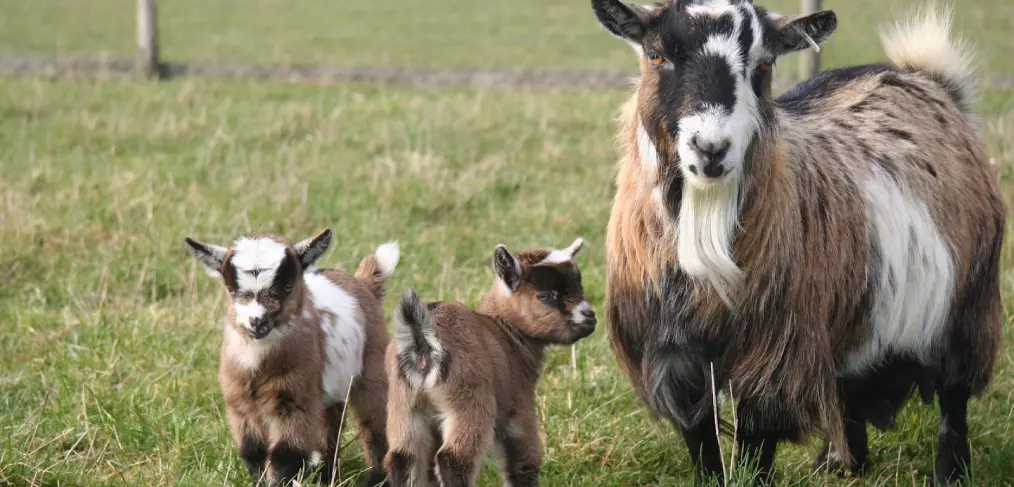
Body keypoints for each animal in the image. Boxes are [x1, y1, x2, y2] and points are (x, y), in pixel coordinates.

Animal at [592, 1, 1005, 484]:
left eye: (763, 64)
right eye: (656, 55)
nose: (711, 148)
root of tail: (928, 79)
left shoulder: (776, 355)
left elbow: (755, 444)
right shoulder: (672, 358)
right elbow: (702, 443)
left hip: (970, 304)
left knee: (953, 396)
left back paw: (950, 471)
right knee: (848, 385)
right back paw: (840, 461)